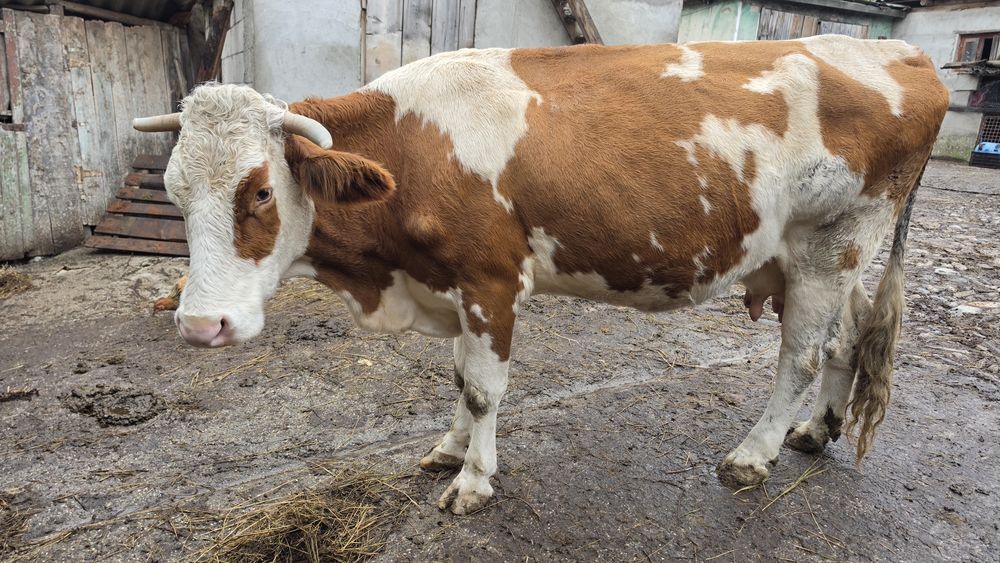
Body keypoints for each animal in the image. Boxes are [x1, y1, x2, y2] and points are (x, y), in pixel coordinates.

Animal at [134, 35, 948, 514]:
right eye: (173, 192)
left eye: (260, 192)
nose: (201, 324)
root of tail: (898, 49)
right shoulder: (450, 284)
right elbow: (459, 376)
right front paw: (450, 448)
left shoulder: (491, 279)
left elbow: (484, 387)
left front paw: (473, 480)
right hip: (823, 256)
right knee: (845, 340)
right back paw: (816, 430)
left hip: (833, 243)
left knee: (801, 355)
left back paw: (753, 456)